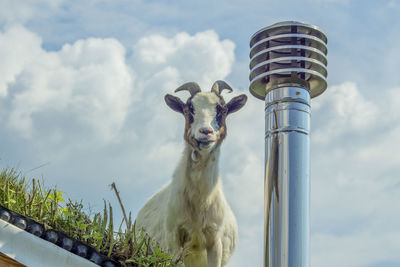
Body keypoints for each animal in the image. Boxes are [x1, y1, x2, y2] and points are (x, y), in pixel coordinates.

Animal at [135, 80, 247, 266]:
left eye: (223, 110)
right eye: (188, 110)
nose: (205, 132)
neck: (199, 202)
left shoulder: (215, 241)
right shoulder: (174, 238)